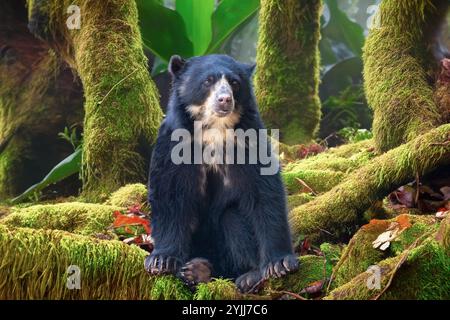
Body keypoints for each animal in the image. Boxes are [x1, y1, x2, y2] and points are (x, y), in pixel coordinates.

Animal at [145, 54, 298, 292]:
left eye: (234, 82)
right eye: (208, 81)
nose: (225, 100)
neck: (214, 129)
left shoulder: (249, 140)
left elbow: (265, 193)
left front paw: (279, 263)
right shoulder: (173, 143)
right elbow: (169, 195)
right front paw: (161, 260)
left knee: (232, 218)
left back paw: (245, 275)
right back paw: (195, 270)